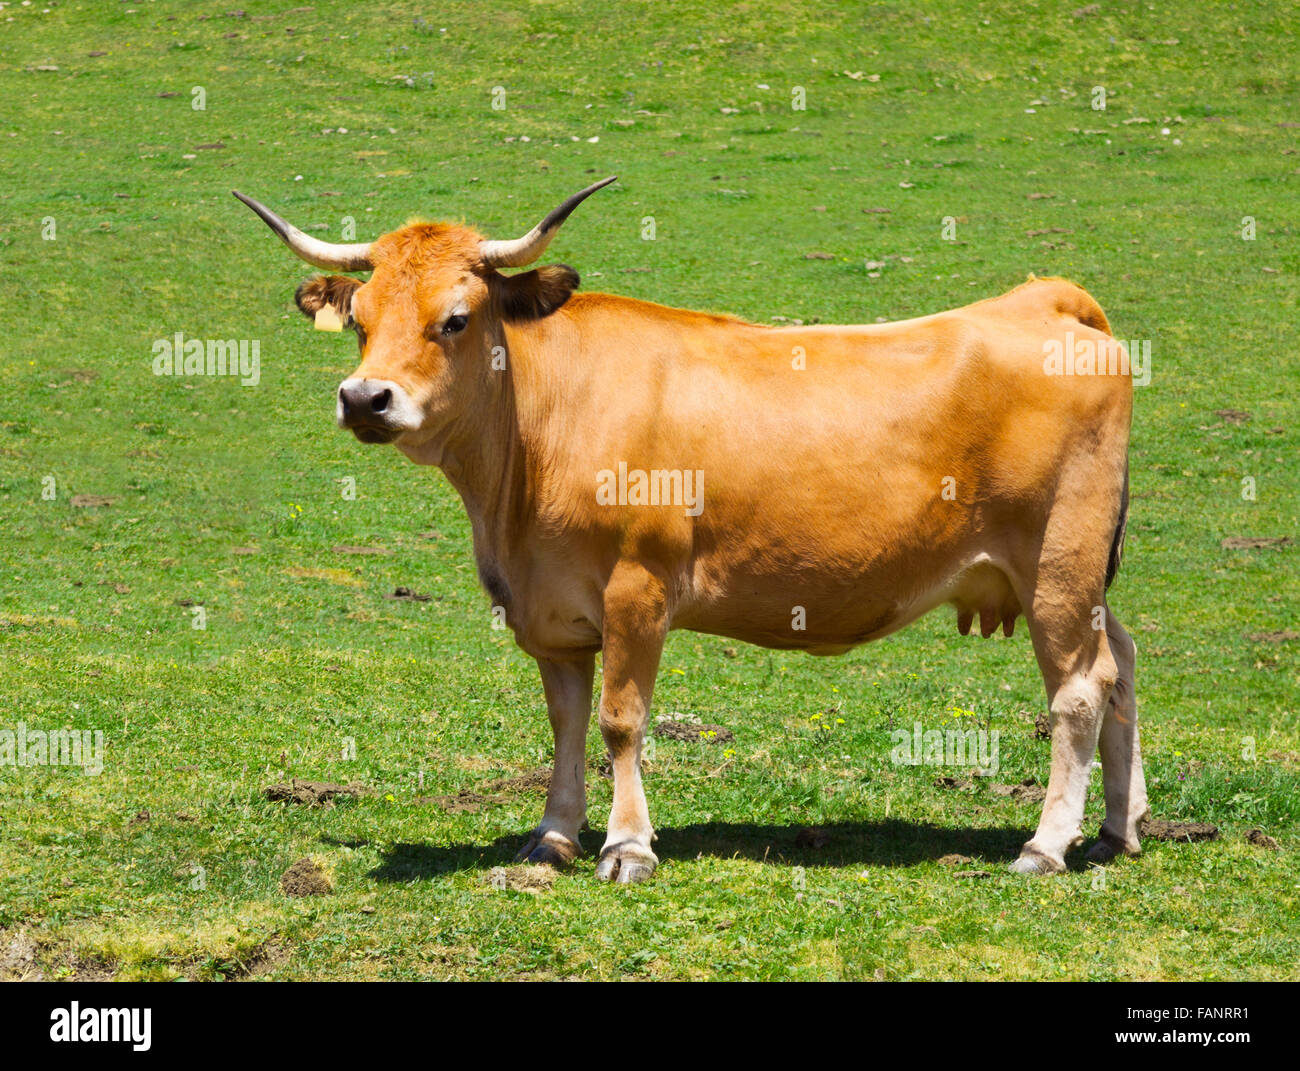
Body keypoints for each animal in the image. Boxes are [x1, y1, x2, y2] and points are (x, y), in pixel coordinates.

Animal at [234, 178, 1148, 882]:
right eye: (359, 319)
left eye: (456, 318)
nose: (365, 398)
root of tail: (1043, 301)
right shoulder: (551, 613)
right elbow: (566, 722)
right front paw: (553, 837)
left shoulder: (637, 588)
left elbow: (620, 718)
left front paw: (627, 846)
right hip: (1080, 577)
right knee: (1124, 662)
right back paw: (1119, 827)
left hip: (1057, 562)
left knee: (1079, 689)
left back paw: (1046, 844)